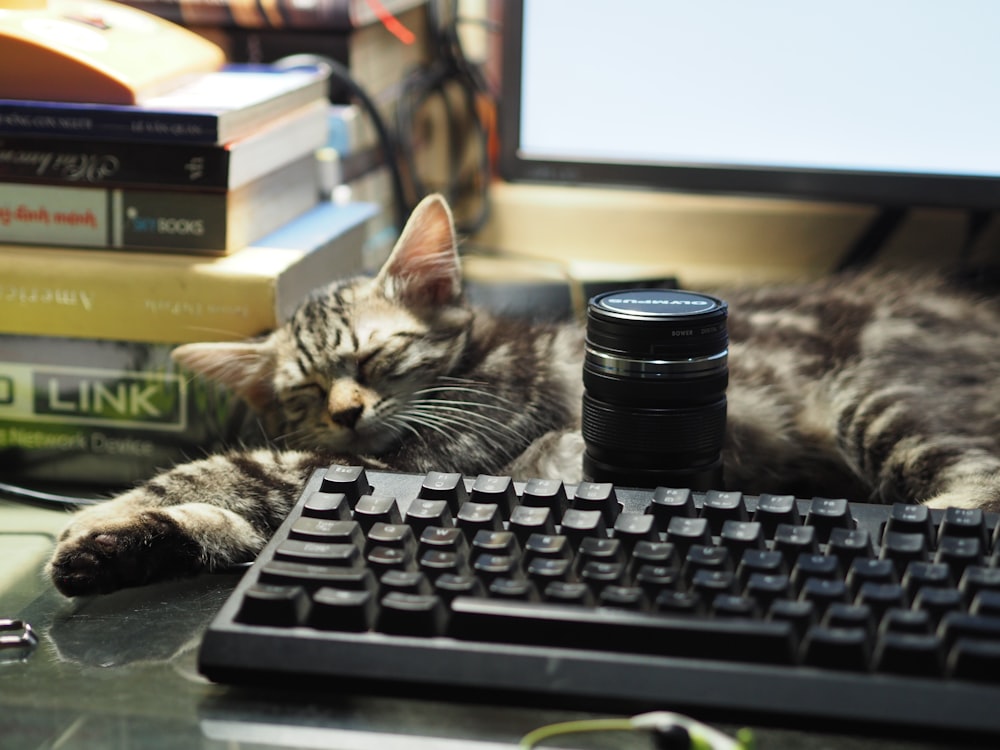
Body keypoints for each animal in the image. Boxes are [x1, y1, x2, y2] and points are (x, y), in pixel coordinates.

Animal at [47, 194, 1000, 600]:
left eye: (378, 356)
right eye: (310, 392)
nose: (350, 414)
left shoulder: (445, 449)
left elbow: (238, 470)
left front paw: (103, 511)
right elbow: (237, 520)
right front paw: (118, 545)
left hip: (880, 397)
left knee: (974, 489)